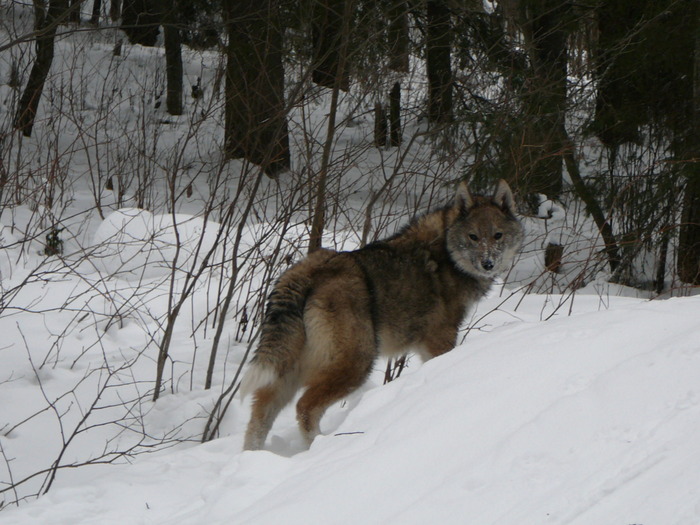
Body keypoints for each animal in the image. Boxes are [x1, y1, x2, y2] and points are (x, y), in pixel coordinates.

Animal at [239, 178, 520, 448]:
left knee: (260, 414)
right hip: (357, 363)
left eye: (497, 235)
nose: (488, 264)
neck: (448, 256)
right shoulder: (441, 339)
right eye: (473, 237)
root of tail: (310, 268)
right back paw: (317, 447)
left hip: (289, 370)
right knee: (305, 407)